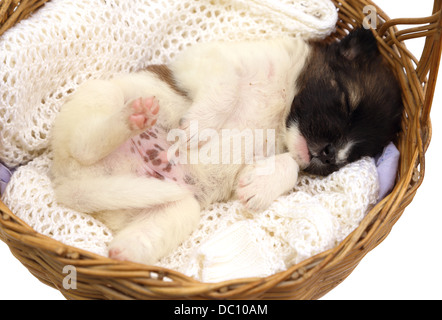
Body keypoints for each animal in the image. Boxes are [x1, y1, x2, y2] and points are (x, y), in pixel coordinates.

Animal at [50, 27, 402, 264]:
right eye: (346, 102)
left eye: (355, 154)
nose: (330, 156)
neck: (281, 106)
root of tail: (68, 185)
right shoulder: (212, 61)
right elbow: (228, 88)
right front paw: (198, 127)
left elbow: (290, 164)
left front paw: (259, 186)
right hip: (101, 96)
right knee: (85, 144)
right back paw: (132, 118)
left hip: (179, 207)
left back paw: (124, 253)